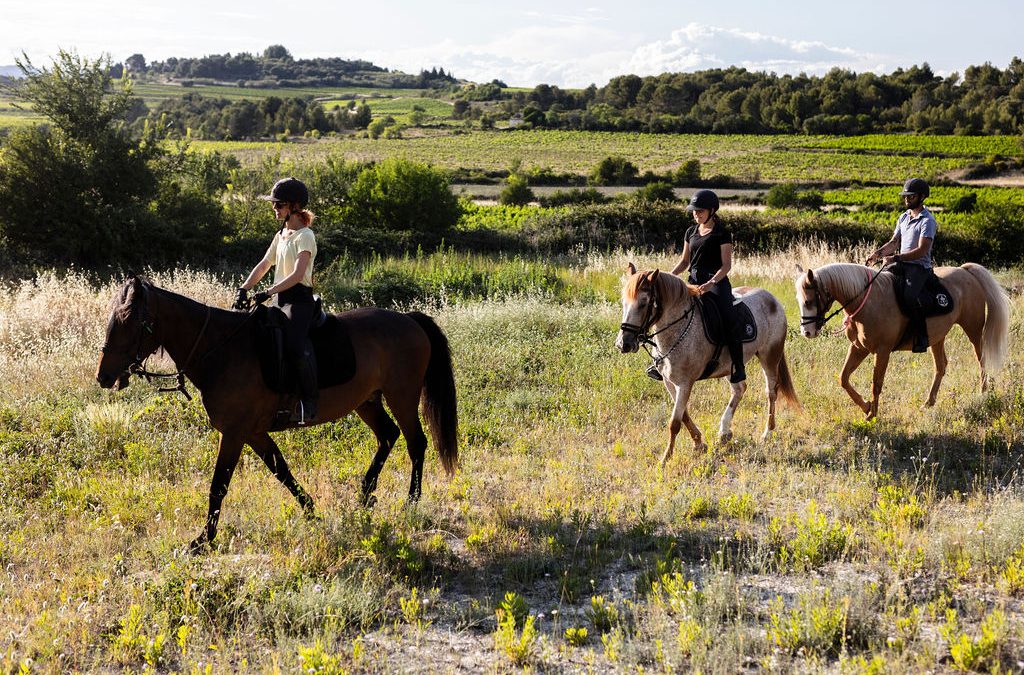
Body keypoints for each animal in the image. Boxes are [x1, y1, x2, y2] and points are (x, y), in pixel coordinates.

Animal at [95, 274, 456, 553]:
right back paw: (365, 494)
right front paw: (312, 512)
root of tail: (408, 319)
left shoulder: (235, 433)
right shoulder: (254, 432)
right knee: (388, 436)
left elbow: (219, 485)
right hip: (367, 401)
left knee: (416, 442)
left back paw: (411, 501)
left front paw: (203, 540)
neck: (222, 351)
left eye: (130, 322)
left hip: (402, 395)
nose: (104, 376)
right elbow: (281, 471)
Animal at [614, 266, 798, 469]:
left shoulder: (685, 383)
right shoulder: (670, 382)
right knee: (739, 389)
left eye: (644, 303)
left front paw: (666, 458)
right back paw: (725, 431)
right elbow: (684, 415)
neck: (679, 329)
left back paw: (767, 433)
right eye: (624, 302)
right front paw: (699, 443)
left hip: (770, 356)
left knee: (771, 392)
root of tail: (772, 299)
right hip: (731, 366)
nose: (623, 344)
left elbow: (674, 422)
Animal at [790, 262, 1007, 417]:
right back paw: (928, 402)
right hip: (937, 337)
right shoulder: (858, 348)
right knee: (941, 366)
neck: (867, 301)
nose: (807, 332)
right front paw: (866, 406)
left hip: (973, 329)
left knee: (981, 359)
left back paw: (983, 392)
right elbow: (843, 378)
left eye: (809, 301)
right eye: (799, 301)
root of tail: (965, 271)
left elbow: (876, 383)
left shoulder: (882, 351)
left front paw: (872, 413)